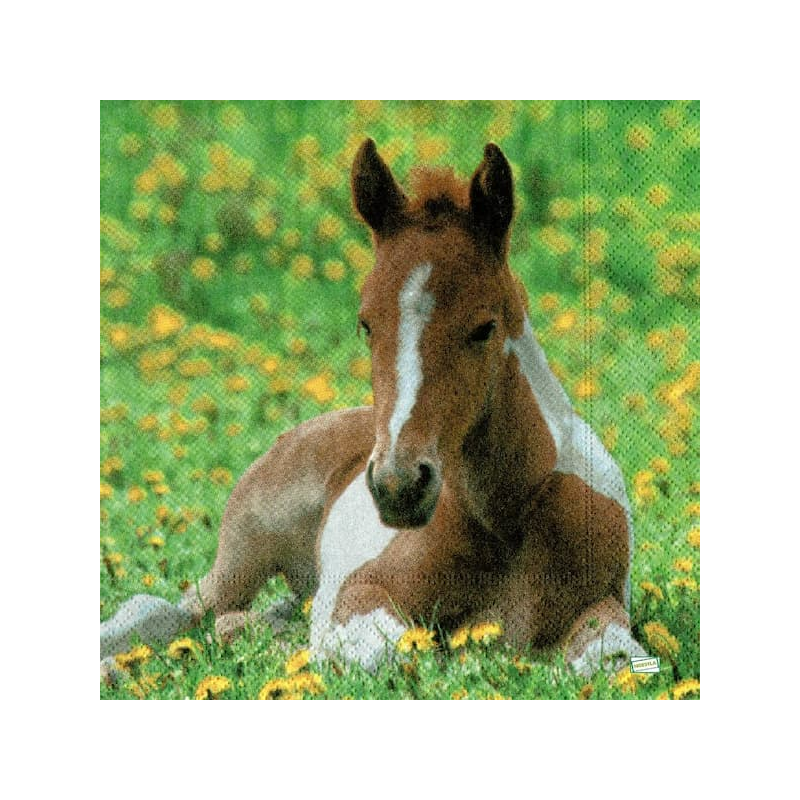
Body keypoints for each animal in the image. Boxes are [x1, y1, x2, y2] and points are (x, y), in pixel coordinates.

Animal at [100, 139, 646, 682]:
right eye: (366, 324)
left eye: (484, 327)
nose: (398, 486)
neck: (505, 520)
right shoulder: (358, 590)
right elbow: (388, 651)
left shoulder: (602, 605)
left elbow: (614, 657)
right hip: (244, 556)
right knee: (170, 608)